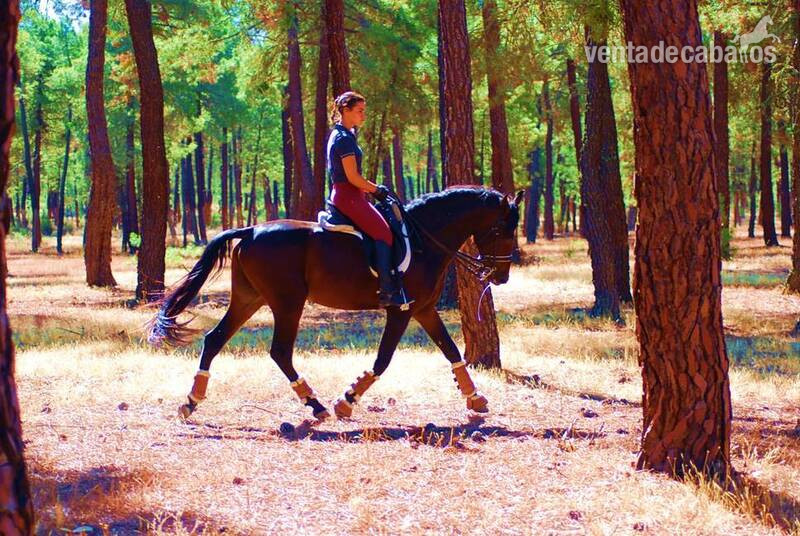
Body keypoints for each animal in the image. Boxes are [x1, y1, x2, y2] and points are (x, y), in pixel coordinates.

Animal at [148, 186, 523, 421]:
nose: (501, 275)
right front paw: (347, 400)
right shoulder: (401, 310)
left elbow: (451, 350)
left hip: (249, 299)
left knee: (215, 339)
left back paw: (191, 402)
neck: (423, 239)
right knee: (279, 351)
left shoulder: (424, 309)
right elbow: (383, 360)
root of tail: (251, 230)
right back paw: (315, 405)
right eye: (503, 230)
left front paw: (475, 397)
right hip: (287, 302)